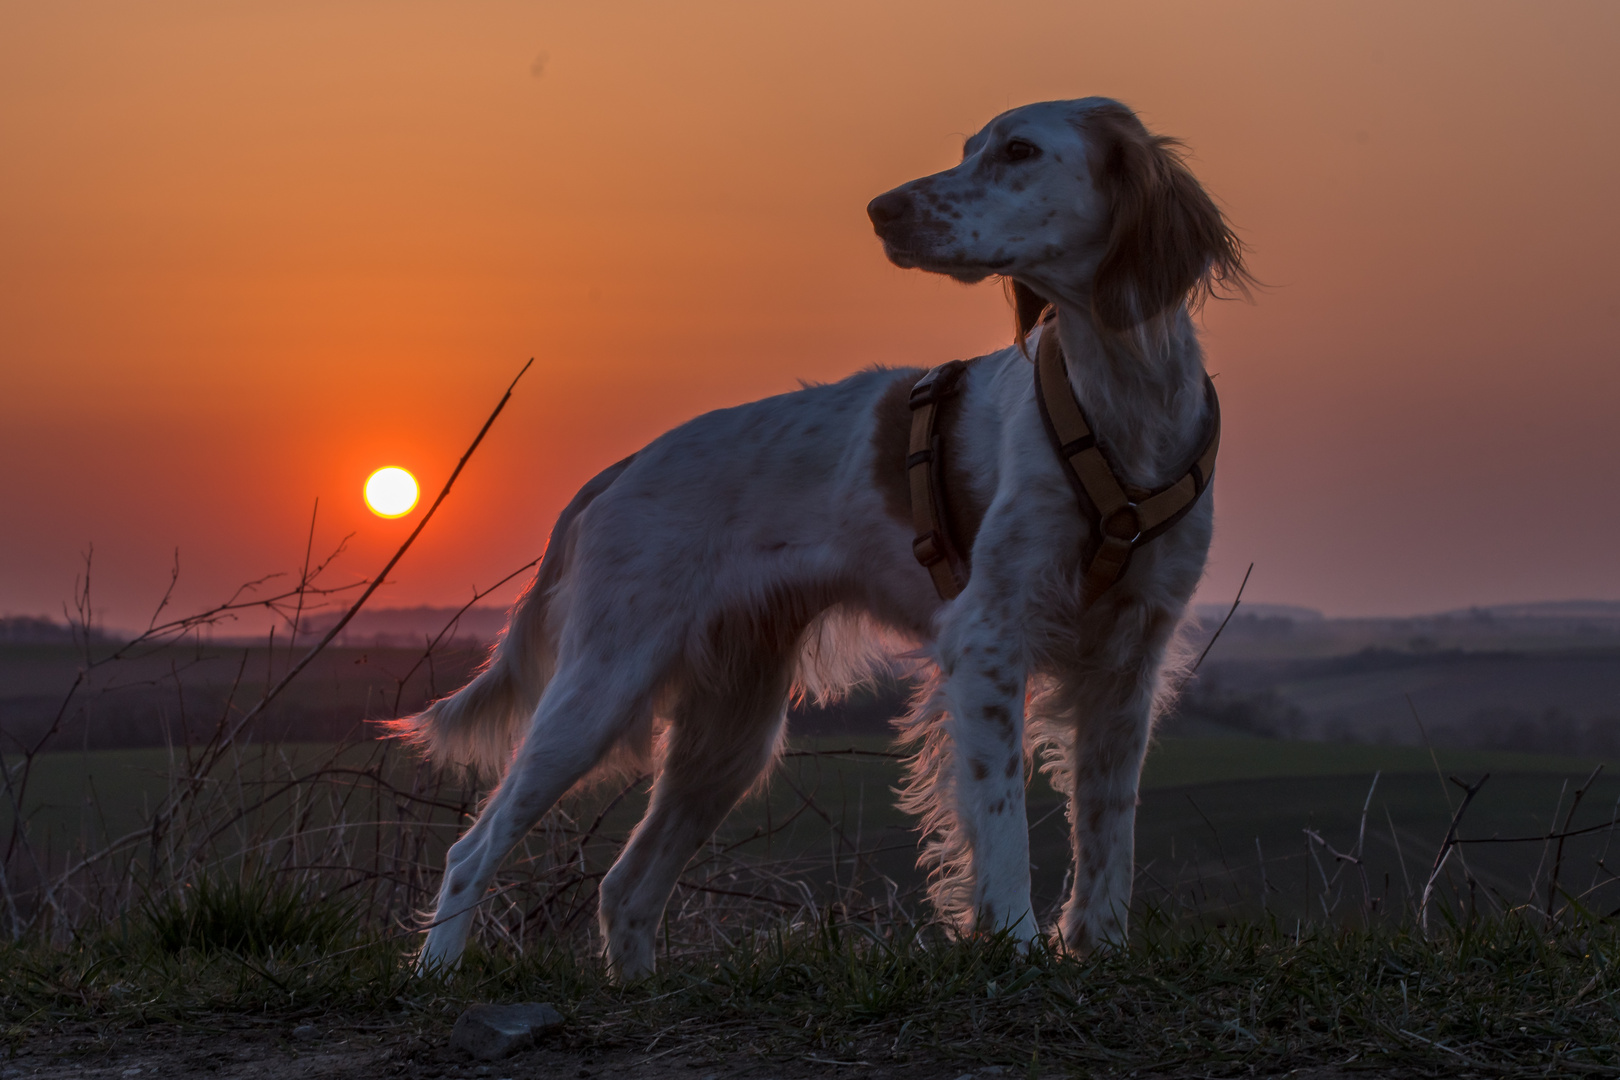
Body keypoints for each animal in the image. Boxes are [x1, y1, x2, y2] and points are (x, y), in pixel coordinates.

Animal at [395, 99, 1250, 977]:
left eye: (1018, 150)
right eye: (970, 147)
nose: (882, 210)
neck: (1119, 398)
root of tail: (623, 466)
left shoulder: (1129, 660)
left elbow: (1110, 829)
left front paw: (1100, 945)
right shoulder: (988, 638)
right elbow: (1003, 822)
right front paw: (1012, 942)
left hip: (730, 737)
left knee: (625, 887)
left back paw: (632, 986)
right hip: (604, 684)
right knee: (472, 851)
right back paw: (438, 971)